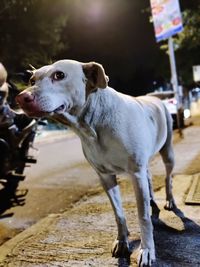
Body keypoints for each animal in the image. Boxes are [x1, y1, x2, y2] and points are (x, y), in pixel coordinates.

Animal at [16, 59, 175, 266]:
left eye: (59, 75)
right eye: (31, 80)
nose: (21, 98)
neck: (92, 126)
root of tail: (153, 98)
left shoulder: (135, 173)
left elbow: (143, 217)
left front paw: (147, 250)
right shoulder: (105, 177)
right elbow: (118, 213)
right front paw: (122, 241)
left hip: (168, 153)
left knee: (168, 178)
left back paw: (169, 200)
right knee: (148, 177)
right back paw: (151, 200)